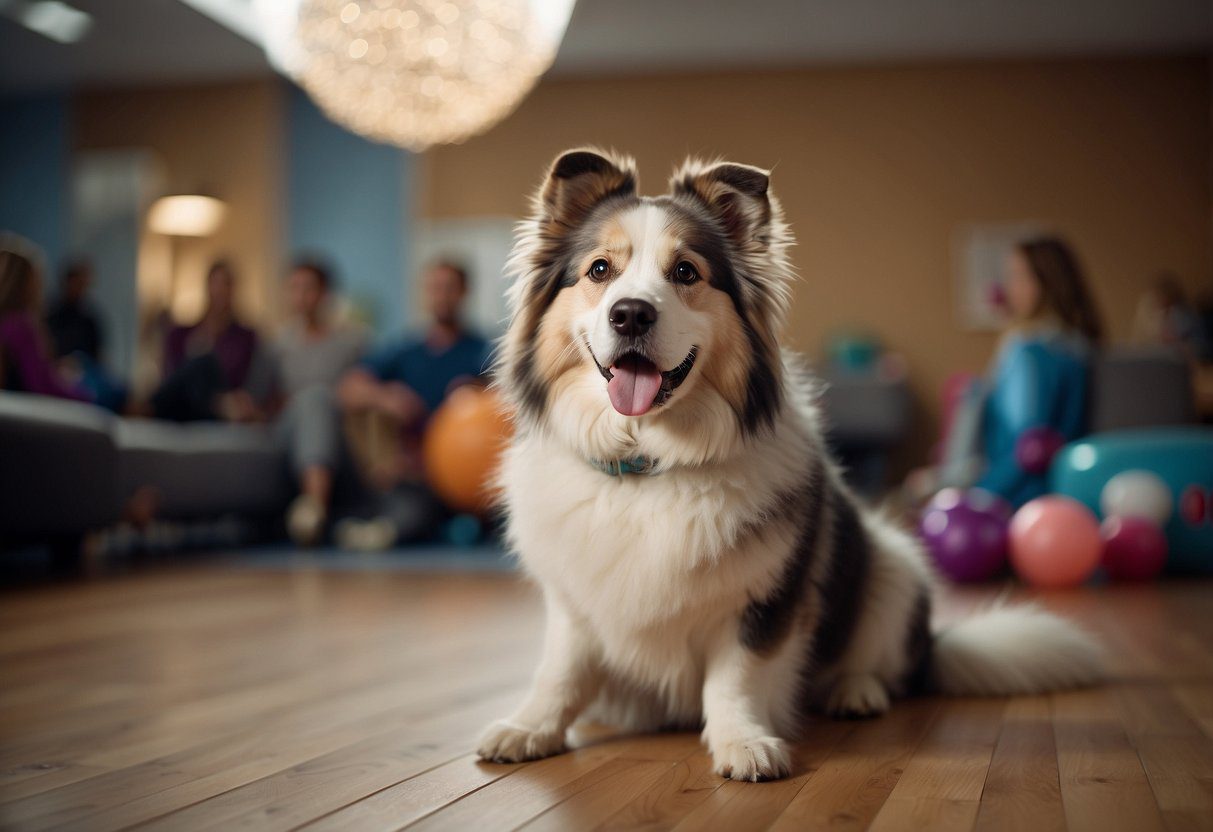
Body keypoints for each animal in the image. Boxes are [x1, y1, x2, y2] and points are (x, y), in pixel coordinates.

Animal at [477, 148, 1106, 781]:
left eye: (686, 273)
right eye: (600, 270)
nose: (630, 315)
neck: (647, 465)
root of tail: (936, 647)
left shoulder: (765, 598)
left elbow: (735, 678)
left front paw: (743, 742)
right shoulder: (572, 602)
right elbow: (560, 671)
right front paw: (530, 728)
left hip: (892, 568)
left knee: (886, 668)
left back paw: (856, 692)